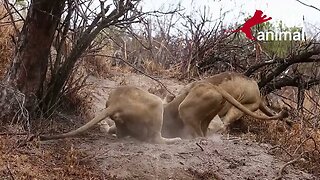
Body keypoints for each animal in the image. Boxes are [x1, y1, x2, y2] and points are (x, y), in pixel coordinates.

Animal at [39, 86, 180, 145]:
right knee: (155, 139)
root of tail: (116, 103)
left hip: (120, 119)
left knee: (118, 133)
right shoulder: (160, 102)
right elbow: (165, 101)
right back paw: (175, 140)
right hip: (156, 107)